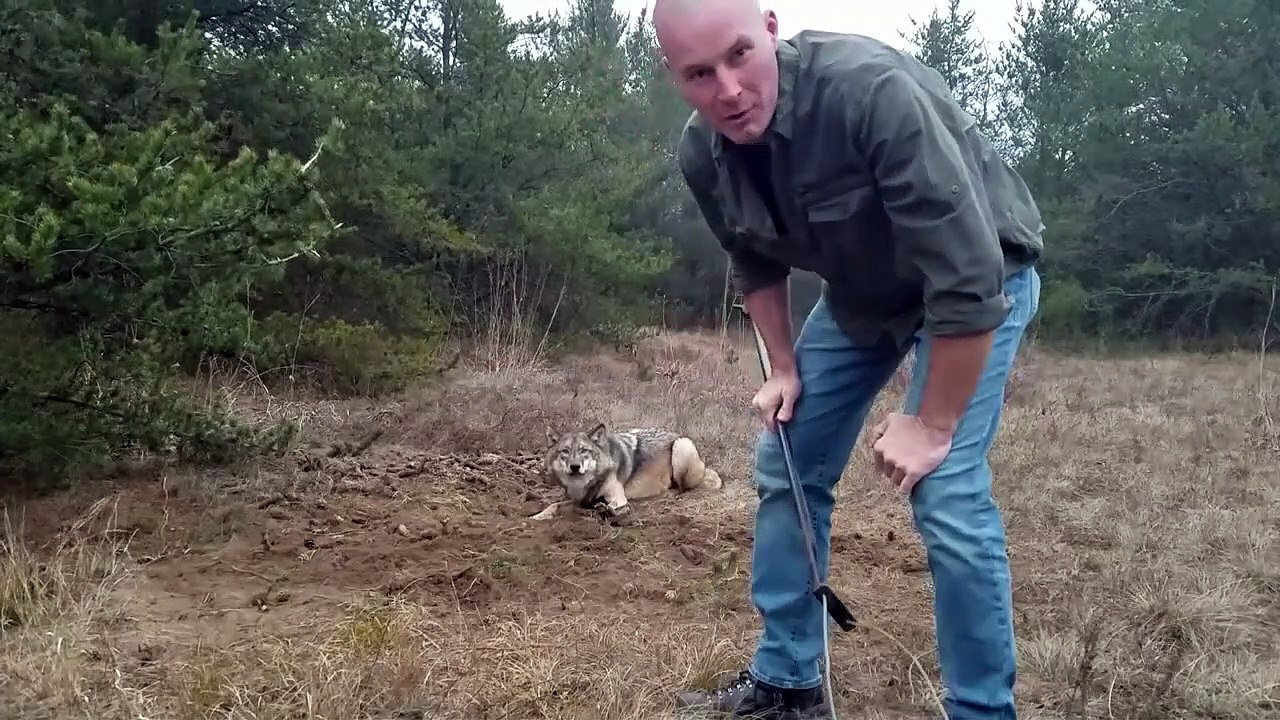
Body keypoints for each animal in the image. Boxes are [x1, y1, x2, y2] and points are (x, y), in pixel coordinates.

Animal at [530, 422, 724, 524]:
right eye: (565, 451)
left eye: (584, 450)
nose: (575, 466)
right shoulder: (578, 499)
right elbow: (554, 505)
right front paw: (537, 516)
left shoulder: (617, 499)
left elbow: (604, 508)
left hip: (681, 447)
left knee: (682, 489)